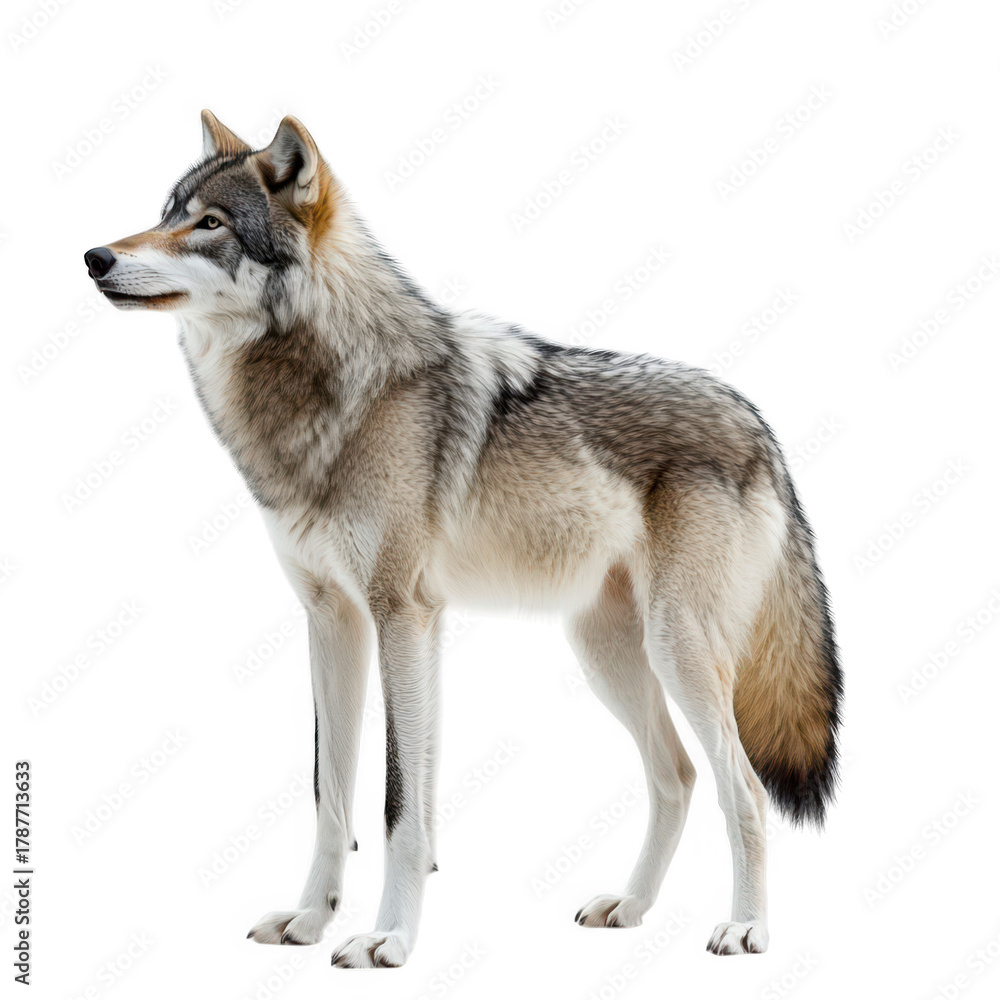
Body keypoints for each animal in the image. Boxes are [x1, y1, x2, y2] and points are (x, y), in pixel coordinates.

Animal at [84, 111, 842, 968]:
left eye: (209, 224)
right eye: (166, 213)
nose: (95, 256)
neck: (336, 391)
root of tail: (759, 421)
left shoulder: (402, 618)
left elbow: (397, 804)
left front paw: (387, 938)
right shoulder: (333, 622)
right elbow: (330, 796)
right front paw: (311, 920)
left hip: (678, 649)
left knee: (741, 788)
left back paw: (747, 927)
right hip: (610, 654)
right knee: (675, 776)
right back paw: (630, 907)